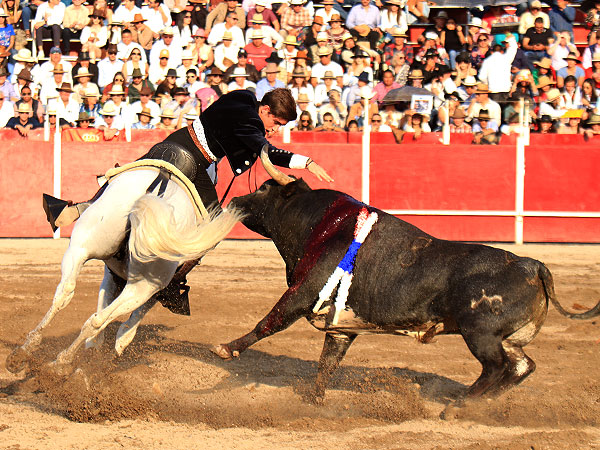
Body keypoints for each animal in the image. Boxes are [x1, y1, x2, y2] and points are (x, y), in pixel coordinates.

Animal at [5, 163, 241, 374]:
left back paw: (28, 353)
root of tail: (158, 188)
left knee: (70, 296)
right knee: (98, 317)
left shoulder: (112, 276)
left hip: (83, 248)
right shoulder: (156, 292)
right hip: (145, 286)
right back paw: (57, 362)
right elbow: (128, 328)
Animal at [213, 179, 596, 400]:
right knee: (521, 366)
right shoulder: (341, 328)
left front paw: (226, 349)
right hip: (508, 337)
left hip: (480, 333)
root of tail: (532, 264)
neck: (322, 226)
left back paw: (460, 405)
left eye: (263, 189)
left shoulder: (303, 293)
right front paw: (315, 403)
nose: (231, 201)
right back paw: (480, 403)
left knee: (496, 367)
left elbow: (269, 323)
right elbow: (327, 366)